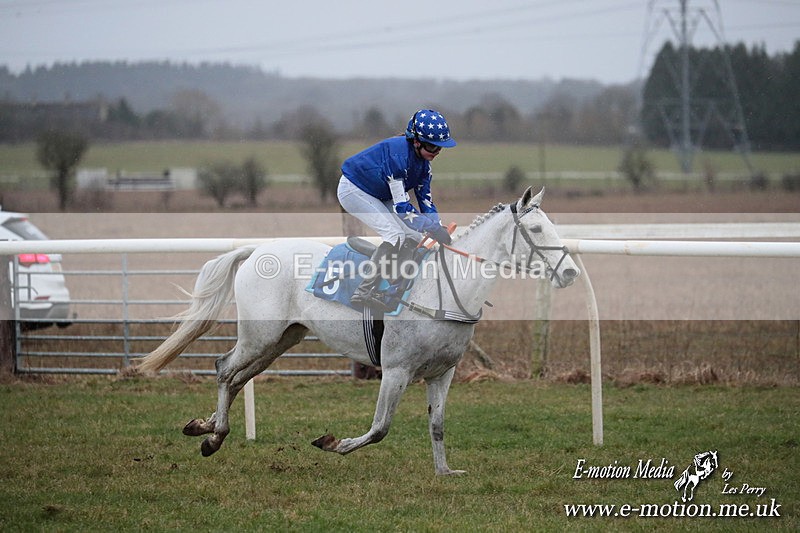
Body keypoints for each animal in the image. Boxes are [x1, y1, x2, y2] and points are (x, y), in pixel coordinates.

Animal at [136, 186, 580, 475]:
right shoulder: (397, 370)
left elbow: (437, 425)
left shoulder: (442, 373)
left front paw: (445, 472)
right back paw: (214, 437)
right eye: (536, 231)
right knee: (225, 369)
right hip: (259, 336)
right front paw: (334, 443)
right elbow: (380, 428)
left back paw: (204, 426)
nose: (572, 272)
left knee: (236, 376)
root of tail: (257, 249)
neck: (444, 290)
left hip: (280, 340)